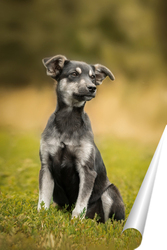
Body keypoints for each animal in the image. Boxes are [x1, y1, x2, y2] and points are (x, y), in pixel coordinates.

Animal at [37, 55, 124, 223]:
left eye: (93, 77)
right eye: (74, 74)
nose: (92, 88)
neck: (68, 120)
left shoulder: (86, 169)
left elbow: (81, 203)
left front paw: (76, 221)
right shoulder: (46, 166)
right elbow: (43, 198)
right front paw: (41, 217)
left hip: (109, 192)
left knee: (109, 220)